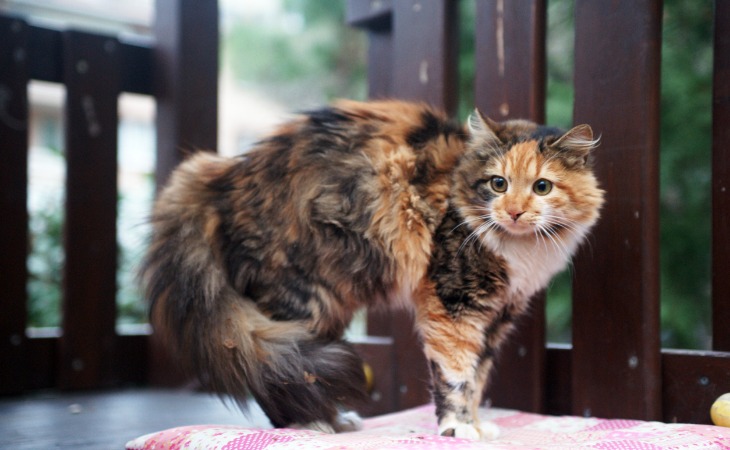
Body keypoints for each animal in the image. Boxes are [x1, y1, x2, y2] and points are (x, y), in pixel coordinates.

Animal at [142, 98, 604, 440]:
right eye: (498, 184)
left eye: (541, 187)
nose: (514, 212)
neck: (522, 252)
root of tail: (222, 174)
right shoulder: (453, 308)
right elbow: (457, 377)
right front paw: (457, 429)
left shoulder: (496, 318)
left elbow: (478, 380)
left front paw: (476, 424)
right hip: (299, 301)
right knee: (273, 371)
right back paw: (309, 426)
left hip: (322, 312)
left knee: (295, 368)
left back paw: (334, 421)